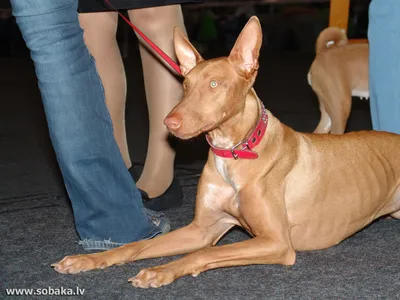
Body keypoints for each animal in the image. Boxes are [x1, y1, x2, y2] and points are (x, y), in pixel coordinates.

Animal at [52, 16, 400, 288]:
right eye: (186, 85)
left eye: (215, 84)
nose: (169, 121)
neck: (233, 153)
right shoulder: (202, 229)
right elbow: (135, 245)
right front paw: (91, 259)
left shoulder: (276, 242)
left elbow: (205, 252)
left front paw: (159, 270)